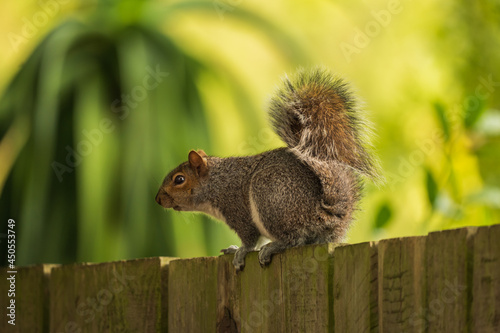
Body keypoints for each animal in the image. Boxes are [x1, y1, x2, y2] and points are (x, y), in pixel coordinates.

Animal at [156, 67, 382, 270]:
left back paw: (274, 247)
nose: (158, 199)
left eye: (179, 179)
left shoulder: (237, 210)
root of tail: (330, 215)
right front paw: (232, 249)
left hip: (269, 196)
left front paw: (240, 252)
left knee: (294, 239)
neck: (217, 182)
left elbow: (250, 240)